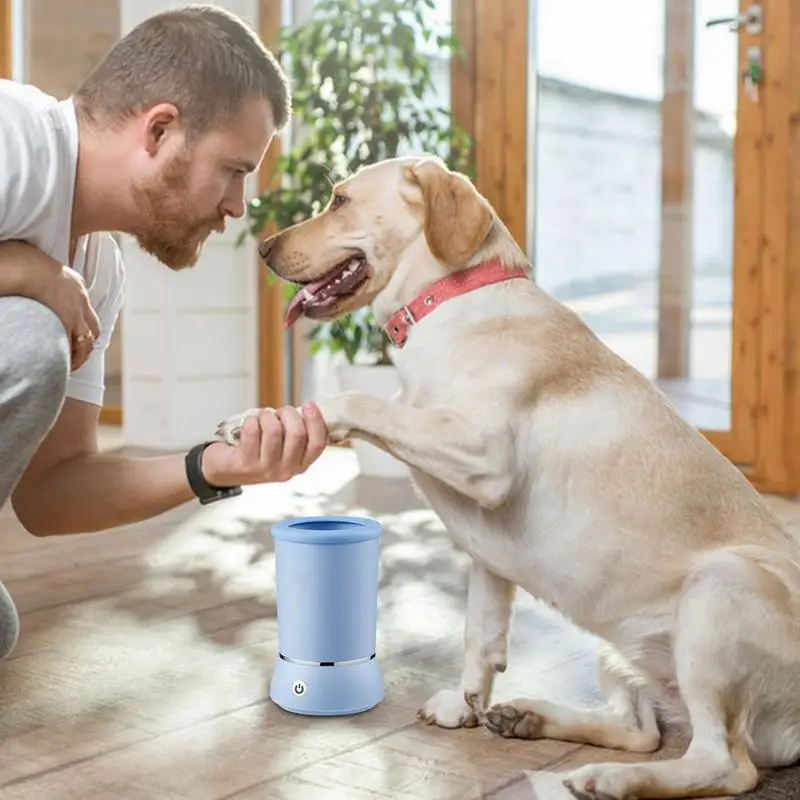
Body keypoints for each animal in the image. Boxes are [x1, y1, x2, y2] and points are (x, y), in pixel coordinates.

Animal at [219, 158, 800, 800]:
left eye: (340, 200)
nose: (263, 246)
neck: (447, 302)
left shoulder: (482, 454)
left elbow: (358, 402)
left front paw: (261, 421)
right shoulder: (487, 556)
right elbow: (481, 634)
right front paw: (466, 704)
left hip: (718, 588)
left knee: (722, 762)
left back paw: (611, 779)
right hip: (619, 647)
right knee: (641, 729)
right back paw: (532, 718)